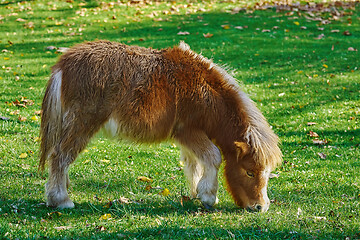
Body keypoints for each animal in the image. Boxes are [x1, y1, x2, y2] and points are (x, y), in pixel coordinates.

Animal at [38, 40, 282, 212]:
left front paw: (196, 192)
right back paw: (61, 200)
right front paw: (208, 197)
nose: (260, 207)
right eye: (249, 172)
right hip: (82, 124)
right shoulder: (188, 131)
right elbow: (213, 157)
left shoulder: (190, 138)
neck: (206, 90)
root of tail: (63, 65)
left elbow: (194, 163)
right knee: (60, 156)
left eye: (267, 173)